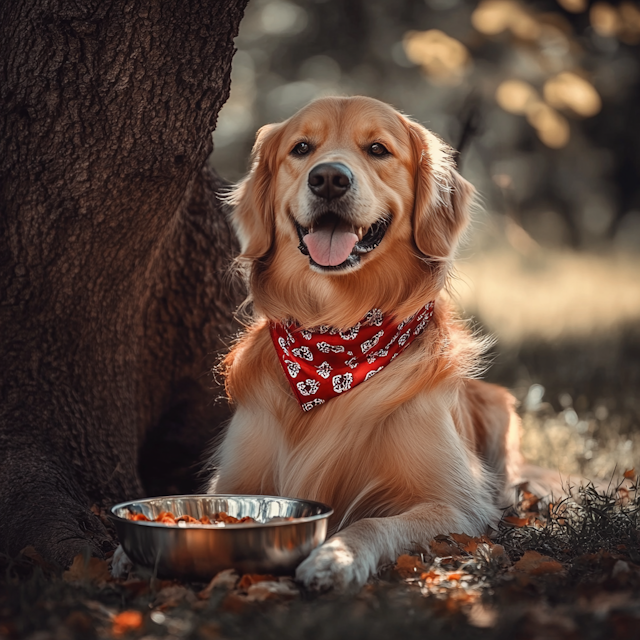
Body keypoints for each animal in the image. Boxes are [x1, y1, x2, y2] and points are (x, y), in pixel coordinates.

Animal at [210, 97, 524, 592]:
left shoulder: (458, 505)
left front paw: (334, 557)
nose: (328, 178)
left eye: (378, 149)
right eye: (301, 148)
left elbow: (373, 521)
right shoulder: (231, 482)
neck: (334, 344)